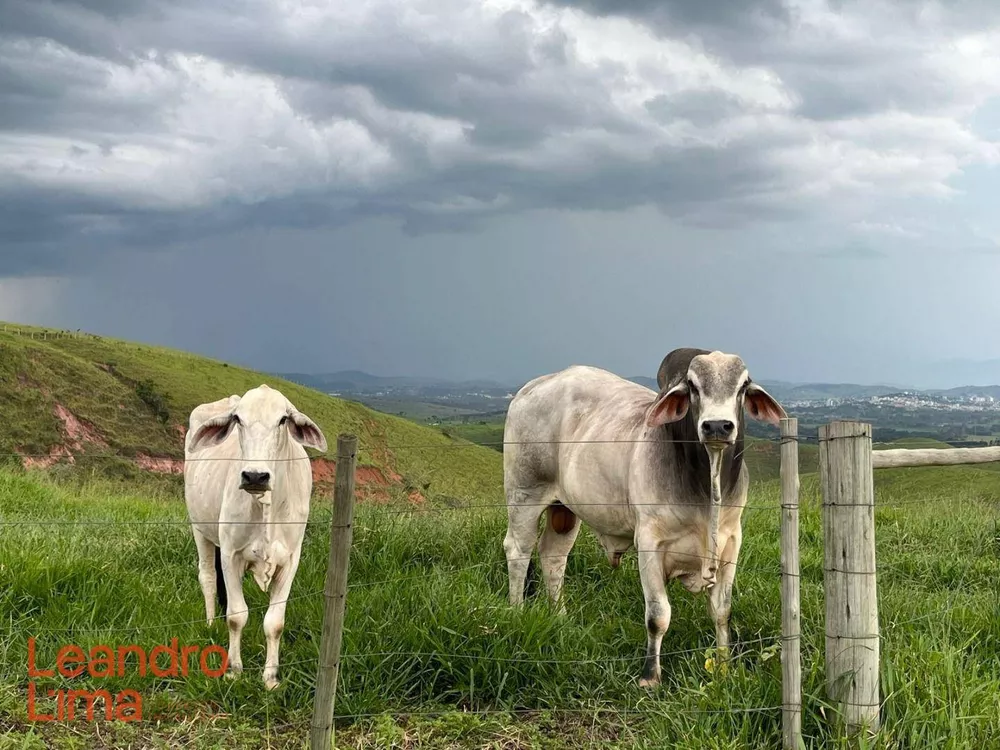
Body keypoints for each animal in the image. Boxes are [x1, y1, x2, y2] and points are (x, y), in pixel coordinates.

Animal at [185, 388, 328, 692]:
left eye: (283, 419)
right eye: (238, 419)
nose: (255, 476)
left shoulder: (291, 560)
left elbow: (274, 622)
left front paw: (271, 678)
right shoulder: (230, 554)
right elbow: (237, 616)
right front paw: (234, 670)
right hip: (199, 529)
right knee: (208, 577)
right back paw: (210, 624)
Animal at [504, 348, 784, 688]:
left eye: (743, 386)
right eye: (692, 386)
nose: (717, 426)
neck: (705, 490)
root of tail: (530, 388)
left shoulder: (731, 542)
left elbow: (722, 611)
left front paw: (724, 668)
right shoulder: (650, 542)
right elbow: (657, 616)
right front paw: (650, 677)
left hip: (565, 509)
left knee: (553, 557)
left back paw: (560, 617)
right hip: (525, 494)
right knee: (518, 552)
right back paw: (517, 613)